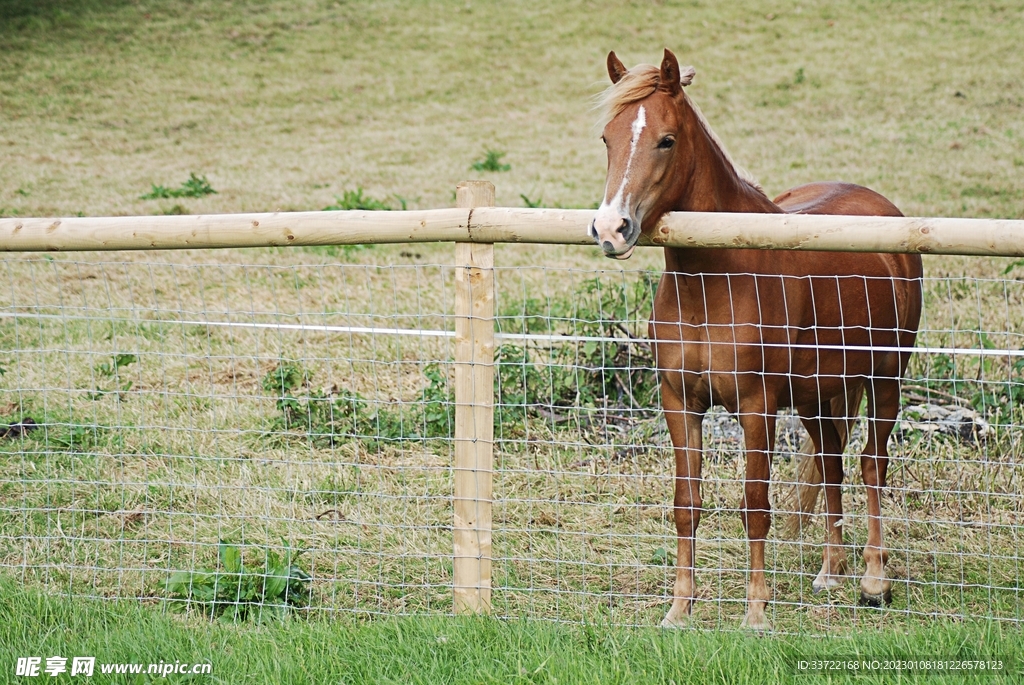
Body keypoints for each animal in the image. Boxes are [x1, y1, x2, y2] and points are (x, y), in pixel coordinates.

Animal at [589, 49, 923, 630]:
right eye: (608, 138)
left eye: (666, 140)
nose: (612, 229)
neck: (716, 279)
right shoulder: (680, 402)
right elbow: (686, 503)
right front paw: (679, 610)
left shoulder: (756, 405)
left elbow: (755, 504)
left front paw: (756, 613)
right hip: (818, 395)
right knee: (832, 464)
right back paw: (830, 571)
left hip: (885, 378)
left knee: (871, 464)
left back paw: (873, 581)